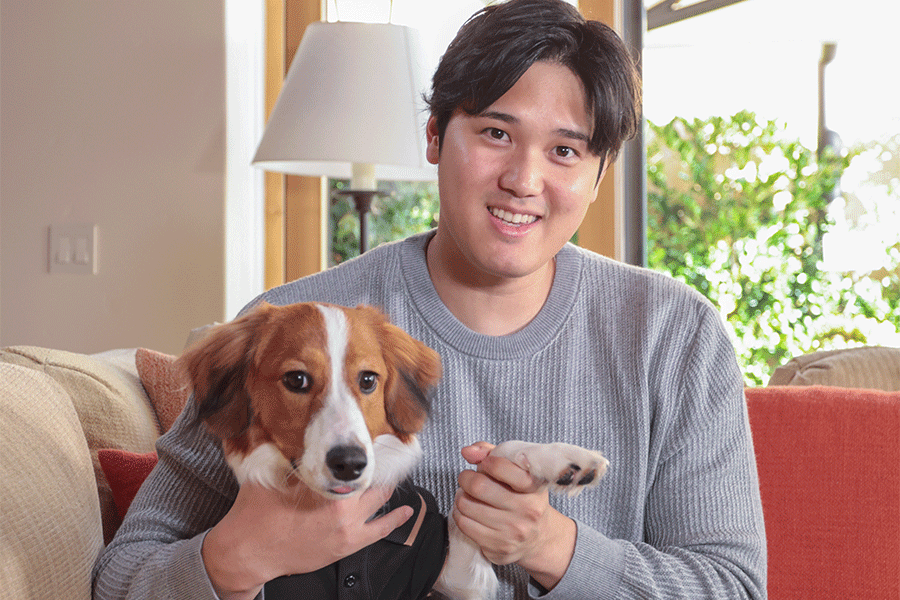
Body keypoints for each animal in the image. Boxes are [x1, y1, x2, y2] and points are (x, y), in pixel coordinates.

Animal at [179, 302, 608, 600]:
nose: (350, 464)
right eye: (296, 379)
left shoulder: (455, 575)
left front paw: (565, 461)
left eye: (368, 380)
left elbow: (500, 451)